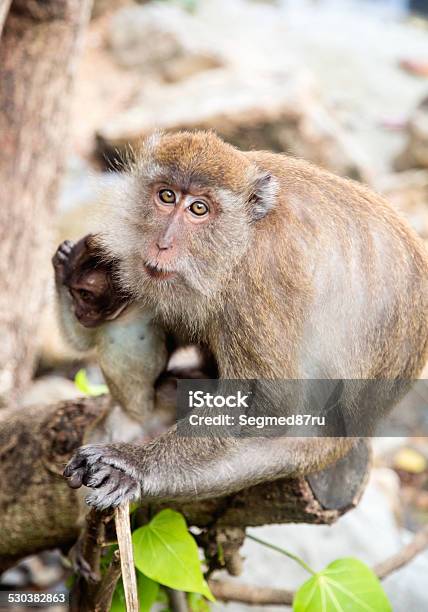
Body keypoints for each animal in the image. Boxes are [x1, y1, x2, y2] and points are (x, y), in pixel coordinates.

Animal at [64, 131, 428, 510]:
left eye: (199, 209)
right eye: (166, 196)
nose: (162, 243)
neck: (243, 237)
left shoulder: (261, 274)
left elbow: (266, 406)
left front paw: (135, 465)